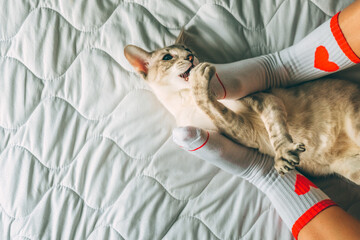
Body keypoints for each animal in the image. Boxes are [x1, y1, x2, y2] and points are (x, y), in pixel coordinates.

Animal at [124, 37, 360, 185]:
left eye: (189, 50)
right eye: (167, 57)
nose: (191, 57)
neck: (185, 100)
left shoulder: (264, 98)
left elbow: (275, 130)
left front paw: (283, 154)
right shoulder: (245, 135)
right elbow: (219, 113)